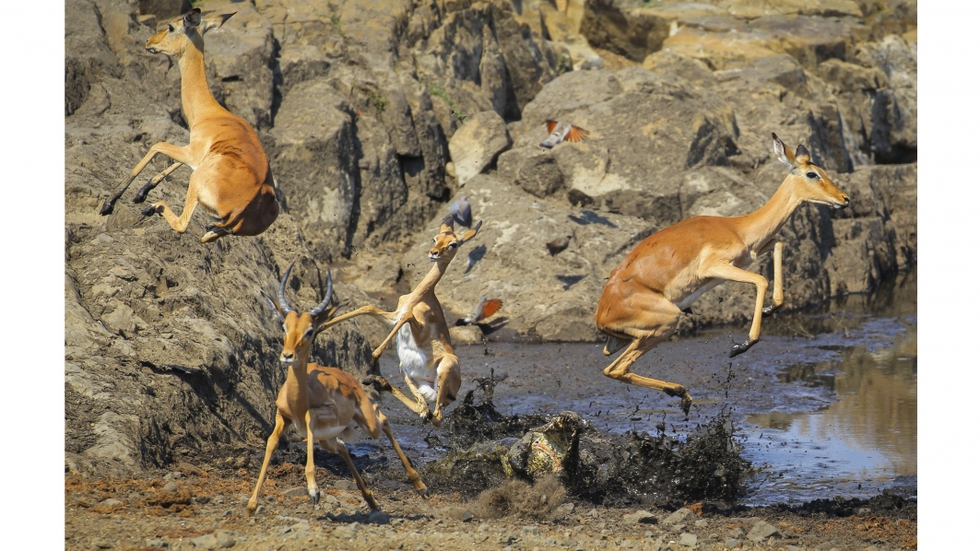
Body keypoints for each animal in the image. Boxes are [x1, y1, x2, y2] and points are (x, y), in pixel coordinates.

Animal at [98, 8, 279, 244]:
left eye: (171, 27)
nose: (149, 41)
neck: (210, 114)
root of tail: (243, 211)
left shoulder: (193, 153)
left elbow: (157, 145)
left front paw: (109, 203)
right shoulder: (194, 152)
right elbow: (173, 159)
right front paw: (141, 192)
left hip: (195, 182)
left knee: (182, 225)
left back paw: (152, 207)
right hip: (211, 219)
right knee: (204, 236)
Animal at [246, 263, 429, 514]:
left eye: (310, 331)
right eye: (284, 327)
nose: (287, 356)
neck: (300, 398)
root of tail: (351, 380)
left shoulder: (320, 414)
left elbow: (309, 417)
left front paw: (313, 490)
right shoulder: (282, 415)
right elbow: (272, 442)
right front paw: (252, 503)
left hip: (367, 423)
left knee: (382, 419)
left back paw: (420, 486)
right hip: (328, 439)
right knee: (342, 446)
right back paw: (371, 500)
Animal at [320, 218, 483, 427]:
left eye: (453, 244)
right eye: (435, 238)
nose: (434, 253)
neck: (419, 298)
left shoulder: (414, 326)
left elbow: (406, 317)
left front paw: (374, 358)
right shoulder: (393, 318)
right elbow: (368, 307)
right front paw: (319, 327)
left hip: (443, 370)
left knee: (436, 417)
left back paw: (376, 378)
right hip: (407, 372)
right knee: (424, 410)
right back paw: (376, 381)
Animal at [594, 133, 850, 415]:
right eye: (812, 173)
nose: (845, 198)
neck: (737, 228)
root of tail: (602, 312)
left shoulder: (752, 253)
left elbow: (779, 243)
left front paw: (770, 308)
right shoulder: (717, 267)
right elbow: (761, 279)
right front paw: (741, 346)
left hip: (626, 339)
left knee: (611, 367)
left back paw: (682, 394)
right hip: (667, 322)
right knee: (614, 369)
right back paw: (682, 393)